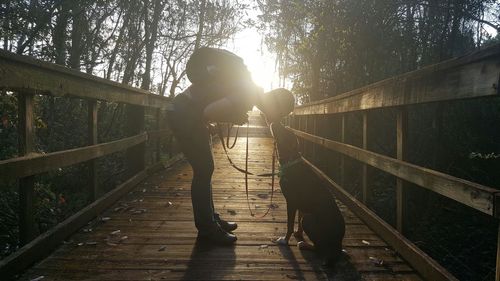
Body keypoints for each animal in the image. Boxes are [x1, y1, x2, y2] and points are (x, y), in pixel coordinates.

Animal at [272, 121, 346, 264]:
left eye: (284, 131)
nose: (275, 122)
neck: (291, 160)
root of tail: (338, 245)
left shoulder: (291, 202)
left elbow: (289, 225)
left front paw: (285, 240)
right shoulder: (300, 205)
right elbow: (298, 220)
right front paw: (298, 233)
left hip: (308, 219)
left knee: (319, 248)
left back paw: (304, 244)